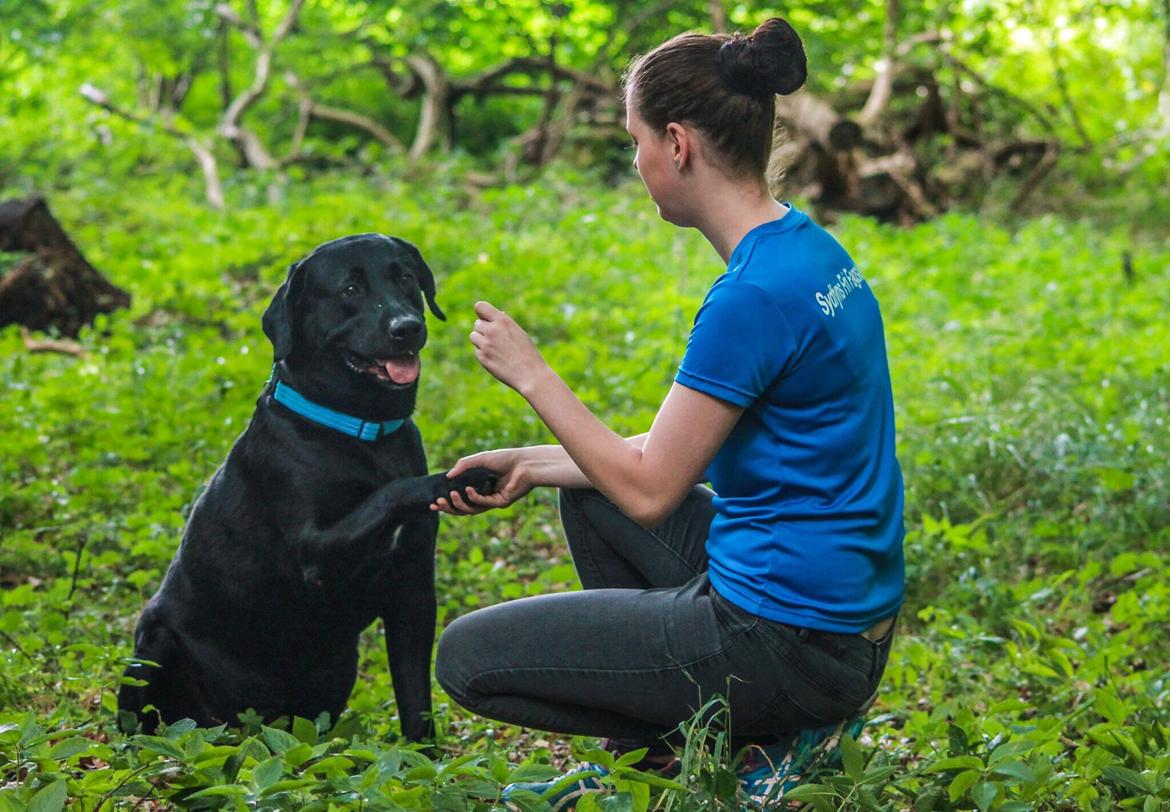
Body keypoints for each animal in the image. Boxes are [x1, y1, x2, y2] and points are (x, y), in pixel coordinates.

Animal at [114, 231, 489, 739]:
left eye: (406, 279)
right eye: (350, 289)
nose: (407, 327)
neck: (362, 429)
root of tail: (238, 726)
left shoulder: (412, 594)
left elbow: (416, 703)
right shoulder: (316, 550)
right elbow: (389, 493)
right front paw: (460, 477)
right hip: (151, 648)